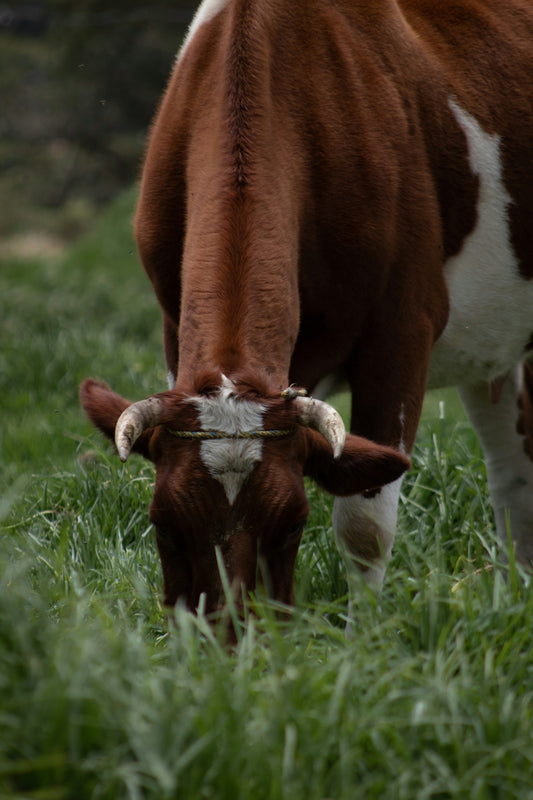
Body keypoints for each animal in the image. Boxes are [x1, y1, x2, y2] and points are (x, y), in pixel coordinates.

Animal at [81, 0, 533, 630]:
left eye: (293, 524)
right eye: (162, 525)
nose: (231, 640)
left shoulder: (403, 329)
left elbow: (365, 524)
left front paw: (364, 637)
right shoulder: (174, 328)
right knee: (512, 468)